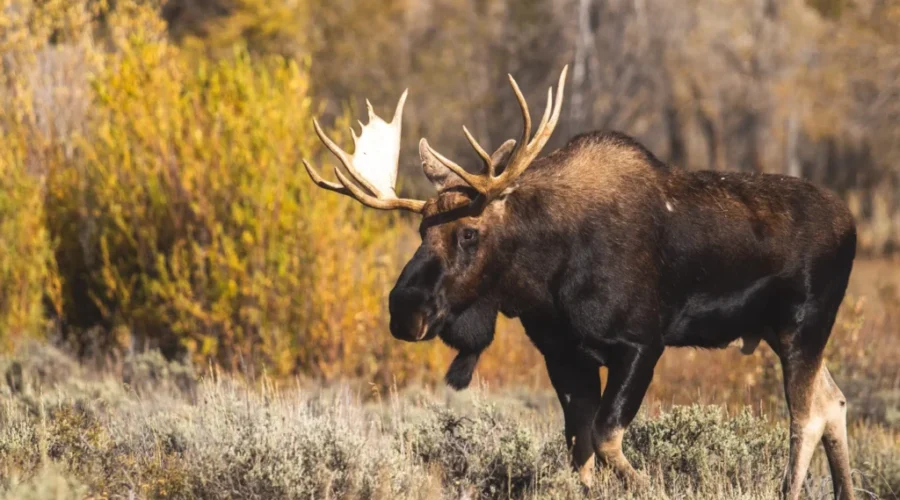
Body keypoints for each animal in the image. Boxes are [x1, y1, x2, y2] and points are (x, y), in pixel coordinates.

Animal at [303, 66, 857, 500]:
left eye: (469, 232)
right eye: (422, 230)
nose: (404, 309)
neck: (544, 280)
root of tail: (852, 224)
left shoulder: (641, 343)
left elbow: (608, 437)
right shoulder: (564, 353)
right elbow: (580, 447)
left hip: (804, 325)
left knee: (805, 416)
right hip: (777, 331)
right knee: (833, 402)